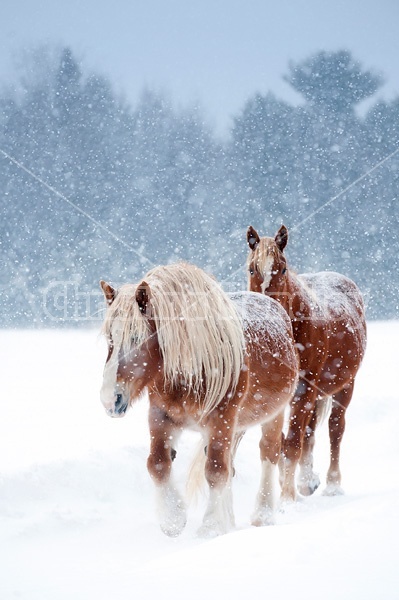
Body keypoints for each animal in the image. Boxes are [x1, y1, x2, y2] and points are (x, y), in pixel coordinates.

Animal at [100, 260, 300, 536]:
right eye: (109, 338)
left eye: (136, 338)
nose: (110, 400)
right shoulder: (161, 416)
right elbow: (157, 464)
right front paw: (173, 518)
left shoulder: (221, 420)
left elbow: (215, 471)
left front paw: (210, 526)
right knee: (230, 465)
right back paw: (229, 520)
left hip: (272, 415)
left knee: (268, 454)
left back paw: (263, 515)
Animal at [248, 225, 368, 502]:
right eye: (251, 269)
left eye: (282, 268)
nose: (267, 309)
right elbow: (282, 442)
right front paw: (288, 485)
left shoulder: (304, 391)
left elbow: (292, 443)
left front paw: (286, 498)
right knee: (310, 433)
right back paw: (307, 480)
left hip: (344, 386)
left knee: (335, 429)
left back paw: (332, 485)